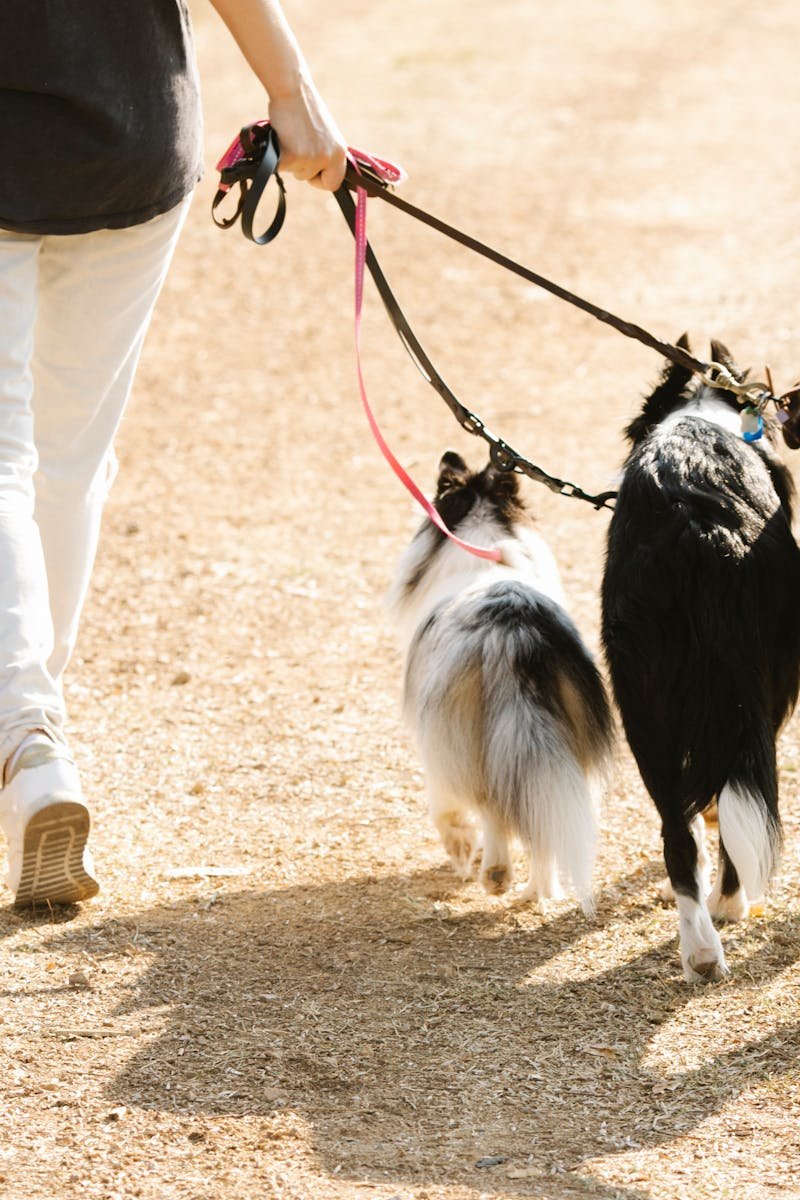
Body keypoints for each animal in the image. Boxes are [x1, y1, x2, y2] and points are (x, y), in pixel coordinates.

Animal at [388, 451, 614, 907]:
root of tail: (514, 632)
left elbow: (449, 813)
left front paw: (462, 850)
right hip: (566, 746)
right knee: (545, 819)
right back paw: (538, 890)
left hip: (459, 736)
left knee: (492, 805)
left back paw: (496, 874)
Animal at [604, 340, 800, 984]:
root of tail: (697, 523)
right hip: (756, 688)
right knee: (747, 792)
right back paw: (730, 906)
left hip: (640, 698)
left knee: (674, 828)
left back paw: (699, 949)